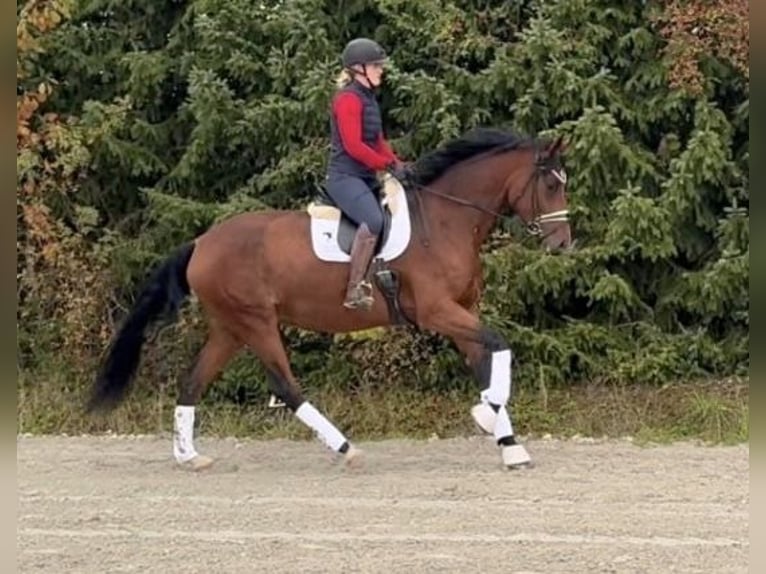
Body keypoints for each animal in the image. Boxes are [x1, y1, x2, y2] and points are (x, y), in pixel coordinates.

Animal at [86, 127, 572, 471]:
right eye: (551, 186)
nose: (564, 245)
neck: (445, 220)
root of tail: (202, 242)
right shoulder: (438, 312)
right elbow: (501, 345)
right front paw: (485, 416)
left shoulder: (462, 311)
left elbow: (486, 361)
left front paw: (508, 444)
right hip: (256, 322)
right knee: (285, 385)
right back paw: (345, 447)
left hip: (230, 327)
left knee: (193, 381)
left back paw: (189, 456)